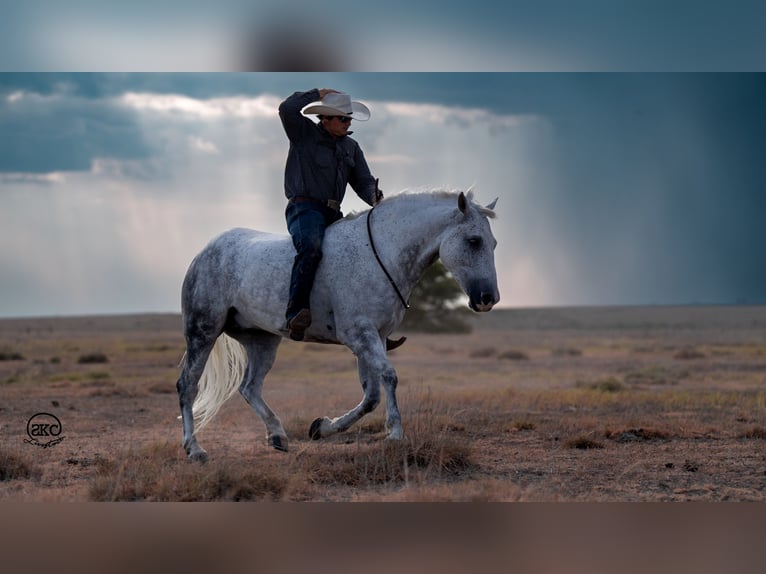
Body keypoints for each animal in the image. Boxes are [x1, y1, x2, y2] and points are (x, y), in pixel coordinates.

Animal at [176, 191, 500, 466]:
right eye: (474, 241)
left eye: (493, 243)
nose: (488, 299)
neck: (381, 254)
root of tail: (205, 252)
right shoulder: (360, 335)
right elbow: (389, 378)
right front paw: (395, 434)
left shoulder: (374, 338)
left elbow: (371, 396)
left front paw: (323, 427)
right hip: (203, 331)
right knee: (188, 385)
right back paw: (194, 449)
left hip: (262, 340)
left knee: (249, 387)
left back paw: (277, 435)